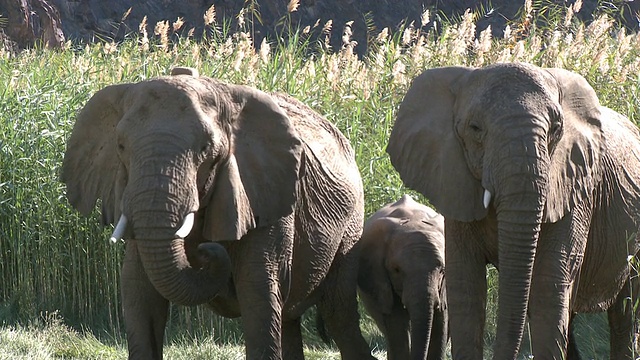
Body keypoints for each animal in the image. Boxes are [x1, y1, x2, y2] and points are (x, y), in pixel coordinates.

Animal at [62, 67, 372, 360]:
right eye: (121, 146)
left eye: (205, 149)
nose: (204, 251)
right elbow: (140, 292)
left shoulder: (268, 195)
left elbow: (258, 293)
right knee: (290, 320)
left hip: (351, 228)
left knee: (338, 315)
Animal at [384, 63, 640, 358]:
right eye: (474, 128)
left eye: (556, 129)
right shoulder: (455, 178)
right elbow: (466, 285)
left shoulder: (574, 186)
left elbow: (549, 283)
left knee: (624, 311)